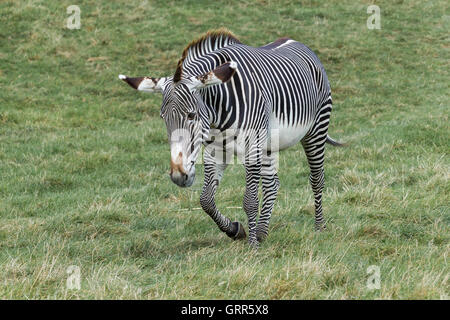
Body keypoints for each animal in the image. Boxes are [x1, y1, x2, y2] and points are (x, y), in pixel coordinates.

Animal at [118, 28, 342, 246]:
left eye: (191, 115)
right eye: (163, 117)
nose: (178, 176)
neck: (217, 113)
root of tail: (295, 41)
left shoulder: (251, 149)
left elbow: (250, 200)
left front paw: (252, 246)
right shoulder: (215, 151)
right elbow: (206, 200)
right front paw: (236, 230)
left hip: (316, 129)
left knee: (317, 178)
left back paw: (319, 227)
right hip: (268, 144)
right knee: (272, 183)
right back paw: (262, 231)